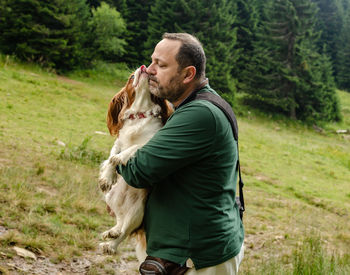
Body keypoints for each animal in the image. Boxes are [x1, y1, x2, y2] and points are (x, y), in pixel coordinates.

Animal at [98, 66, 172, 262]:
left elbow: (124, 153)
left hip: (138, 212)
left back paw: (111, 244)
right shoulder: (119, 141)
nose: (143, 68)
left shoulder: (151, 143)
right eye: (131, 77)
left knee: (125, 230)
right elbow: (112, 155)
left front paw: (119, 161)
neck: (141, 112)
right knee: (119, 220)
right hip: (111, 197)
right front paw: (107, 178)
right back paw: (112, 231)